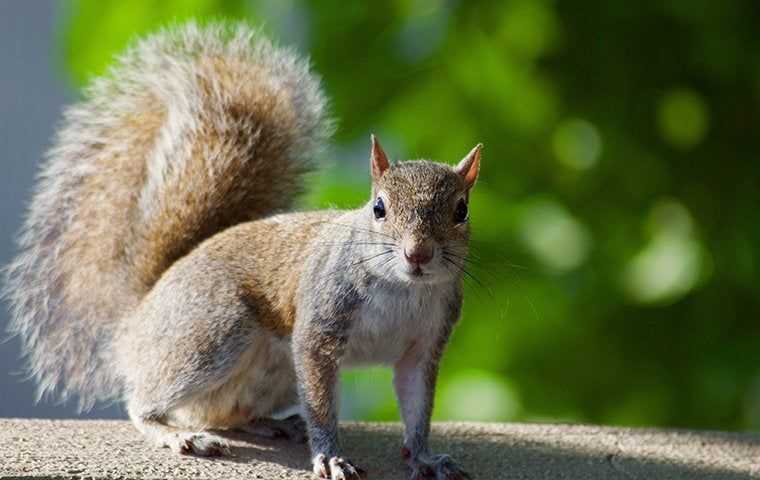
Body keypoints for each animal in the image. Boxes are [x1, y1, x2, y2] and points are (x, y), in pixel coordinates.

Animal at [4, 22, 480, 480]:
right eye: (378, 207)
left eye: (461, 210)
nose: (418, 254)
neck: (402, 289)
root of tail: (137, 319)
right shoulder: (320, 325)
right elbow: (322, 403)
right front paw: (329, 456)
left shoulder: (424, 345)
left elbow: (417, 408)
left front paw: (425, 457)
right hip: (211, 333)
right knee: (145, 403)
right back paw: (178, 435)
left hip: (272, 374)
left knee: (227, 411)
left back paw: (273, 424)